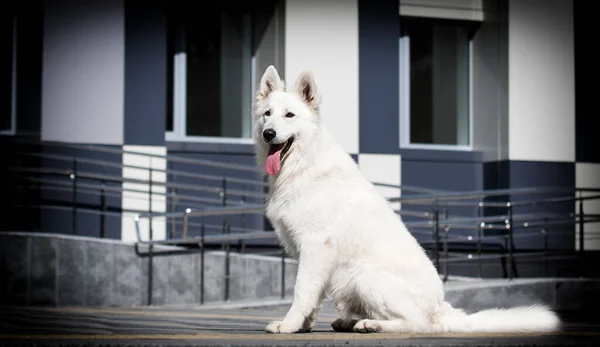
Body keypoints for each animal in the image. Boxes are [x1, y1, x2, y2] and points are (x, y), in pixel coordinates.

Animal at [251, 65, 560, 334]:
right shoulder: (308, 254)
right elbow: (312, 297)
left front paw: (289, 325)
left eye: (290, 115)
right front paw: (303, 325)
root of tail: (441, 310)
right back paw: (351, 321)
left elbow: (301, 291)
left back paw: (371, 325)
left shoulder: (315, 247)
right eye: (267, 114)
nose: (269, 133)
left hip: (364, 276)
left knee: (416, 324)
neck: (302, 165)